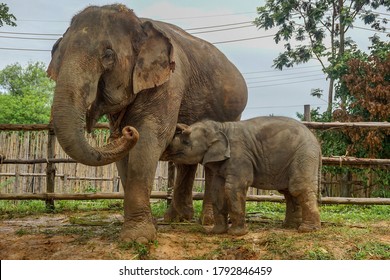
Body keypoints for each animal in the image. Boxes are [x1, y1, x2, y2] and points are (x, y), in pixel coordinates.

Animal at [46, 3, 247, 243]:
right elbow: (124, 155)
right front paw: (150, 226)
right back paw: (176, 218)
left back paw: (205, 221)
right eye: (57, 51)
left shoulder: (169, 83)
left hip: (232, 113)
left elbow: (151, 140)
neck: (140, 24)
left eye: (108, 54)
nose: (127, 131)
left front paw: (137, 238)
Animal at [163, 116, 322, 236]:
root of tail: (317, 144)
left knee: (298, 187)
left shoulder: (239, 155)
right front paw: (217, 232)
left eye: (186, 142)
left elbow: (235, 187)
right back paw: (289, 226)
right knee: (288, 191)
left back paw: (307, 230)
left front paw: (237, 234)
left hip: (304, 155)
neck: (220, 127)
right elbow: (217, 189)